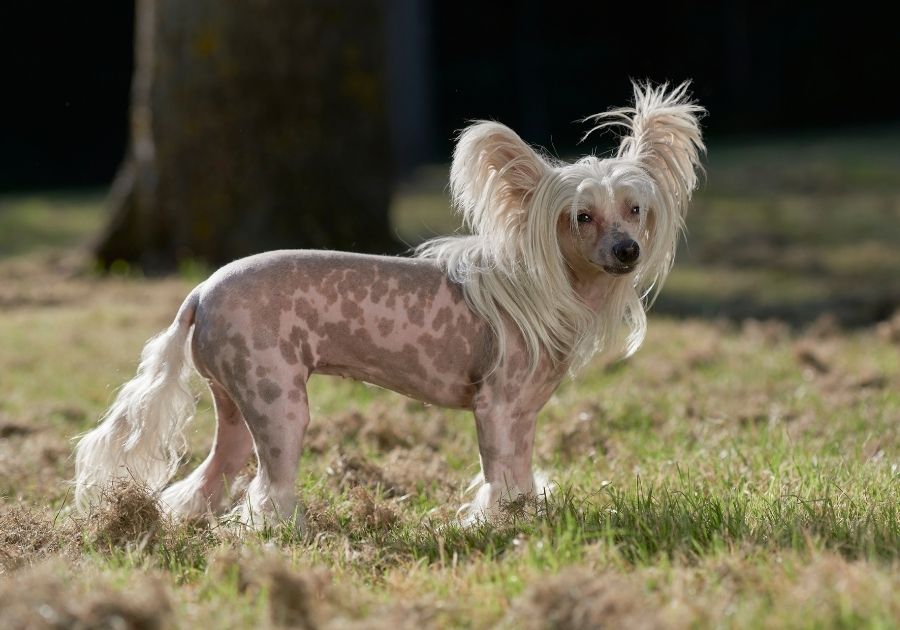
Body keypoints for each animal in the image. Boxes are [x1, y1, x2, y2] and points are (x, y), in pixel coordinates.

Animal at [74, 82, 704, 528]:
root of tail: (199, 293)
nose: (627, 251)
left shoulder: (524, 416)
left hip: (233, 405)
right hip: (279, 400)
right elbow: (497, 477)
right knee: (267, 488)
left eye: (636, 210)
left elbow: (519, 476)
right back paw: (286, 535)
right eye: (581, 217)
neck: (547, 289)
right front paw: (494, 528)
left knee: (208, 479)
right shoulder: (497, 409)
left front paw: (527, 519)